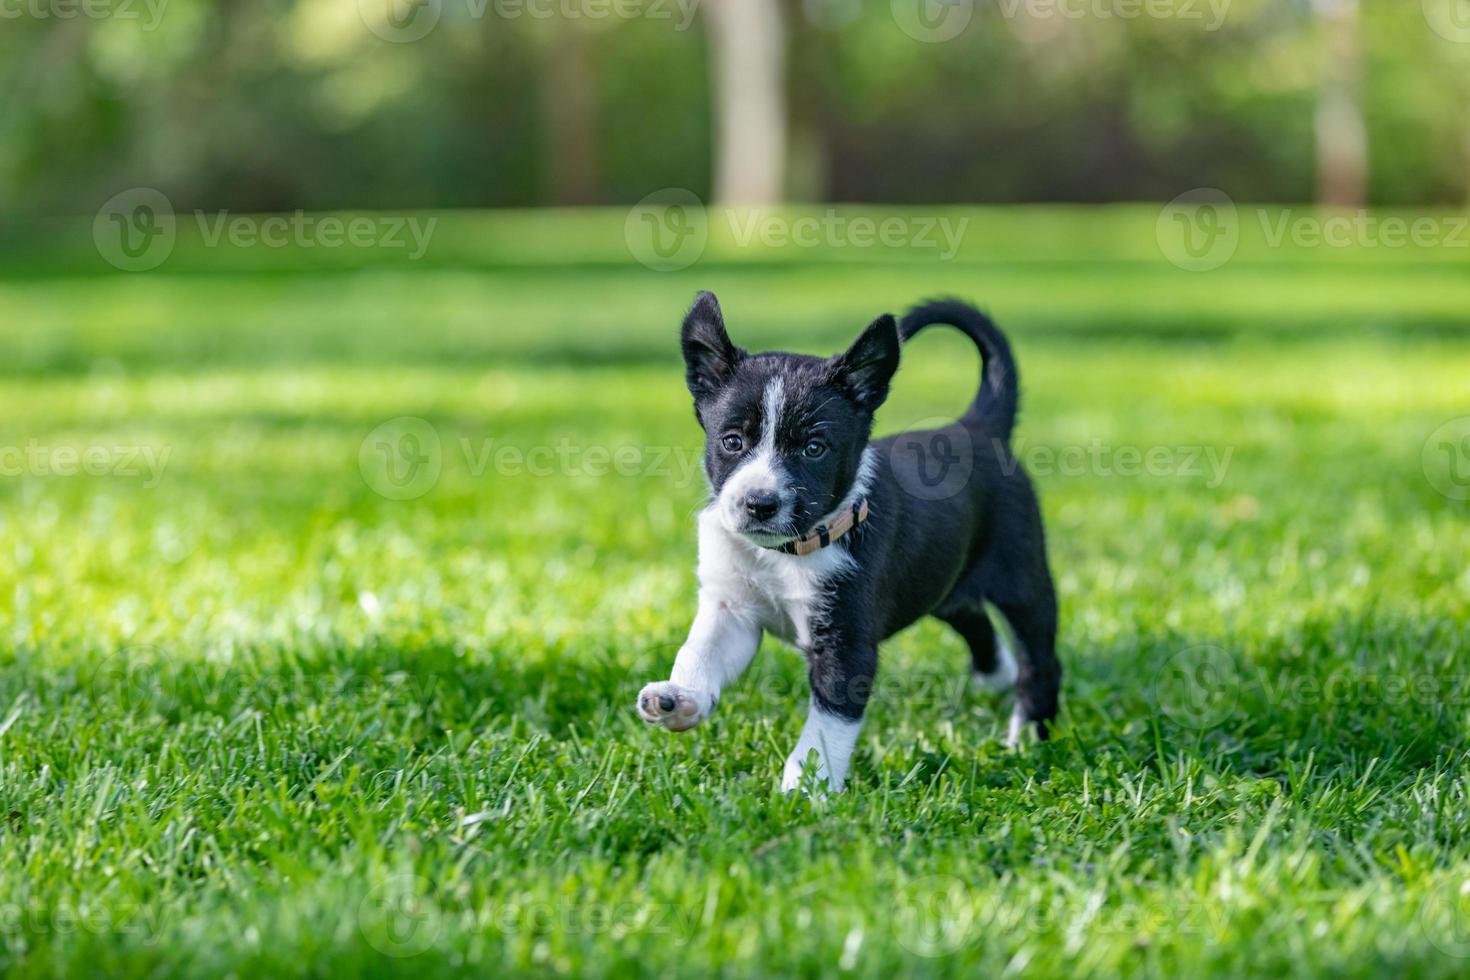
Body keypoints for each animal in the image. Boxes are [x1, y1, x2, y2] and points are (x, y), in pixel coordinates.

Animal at [637, 295, 1064, 793]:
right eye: (731, 441)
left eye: (814, 448)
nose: (759, 503)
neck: (785, 554)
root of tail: (979, 426)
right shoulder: (732, 608)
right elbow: (700, 650)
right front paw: (680, 697)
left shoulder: (847, 640)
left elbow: (827, 726)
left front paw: (805, 790)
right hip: (942, 581)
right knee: (972, 616)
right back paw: (997, 679)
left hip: (1023, 581)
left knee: (1040, 661)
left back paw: (1028, 738)